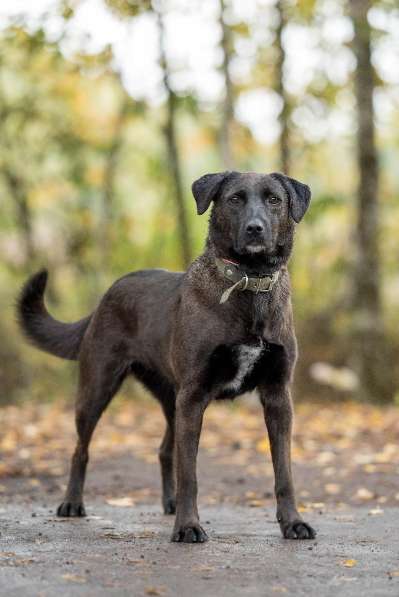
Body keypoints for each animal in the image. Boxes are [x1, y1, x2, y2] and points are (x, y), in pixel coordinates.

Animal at [18, 171, 318, 540]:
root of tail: (106, 297)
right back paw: (72, 504)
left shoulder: (277, 396)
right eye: (235, 199)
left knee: (164, 451)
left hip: (171, 401)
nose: (255, 228)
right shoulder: (194, 396)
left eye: (274, 199)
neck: (248, 283)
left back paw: (169, 502)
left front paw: (293, 522)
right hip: (98, 389)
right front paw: (188, 527)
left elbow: (284, 473)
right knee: (81, 449)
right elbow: (190, 474)